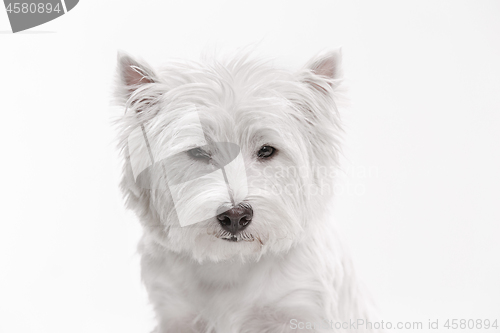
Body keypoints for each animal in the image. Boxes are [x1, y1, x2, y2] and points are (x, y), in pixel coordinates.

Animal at [115, 48, 376, 330]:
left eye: (267, 150)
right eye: (198, 152)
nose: (235, 216)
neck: (231, 263)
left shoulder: (302, 309)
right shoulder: (176, 312)